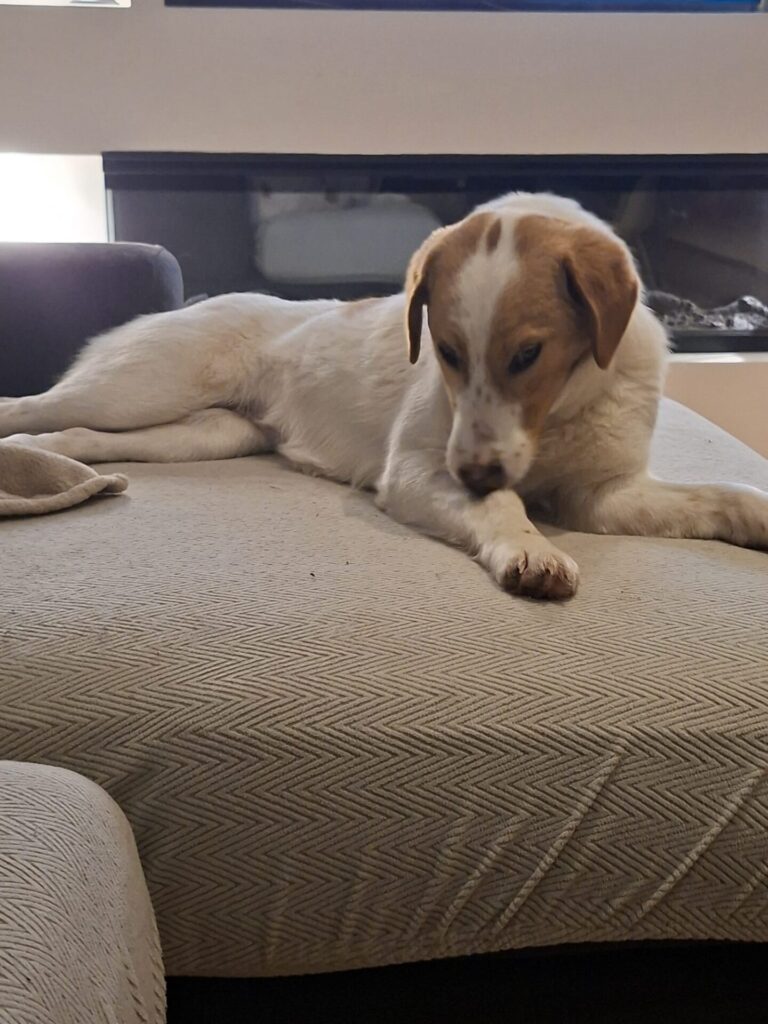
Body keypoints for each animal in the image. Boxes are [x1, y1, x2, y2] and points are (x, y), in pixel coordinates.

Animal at [2, 192, 766, 599]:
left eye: (528, 354)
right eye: (447, 352)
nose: (474, 474)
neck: (560, 411)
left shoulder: (603, 494)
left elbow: (723, 494)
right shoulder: (420, 470)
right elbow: (506, 506)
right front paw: (531, 549)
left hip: (204, 433)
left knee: (77, 439)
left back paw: (43, 457)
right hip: (139, 387)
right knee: (32, 405)